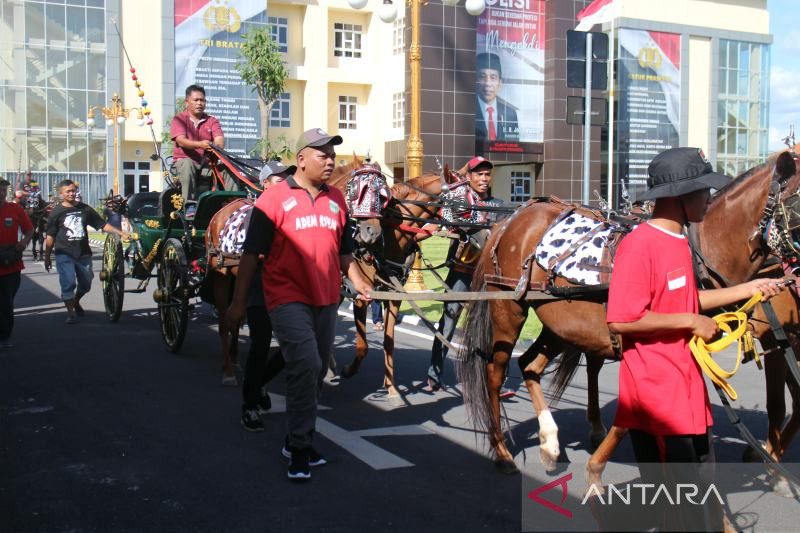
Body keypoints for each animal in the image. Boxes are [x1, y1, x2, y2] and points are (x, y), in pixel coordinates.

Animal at [456, 147, 800, 474]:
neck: (702, 251)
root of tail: (512, 218)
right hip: (508, 308)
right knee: (495, 373)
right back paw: (502, 452)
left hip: (560, 320)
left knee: (530, 364)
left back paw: (550, 443)